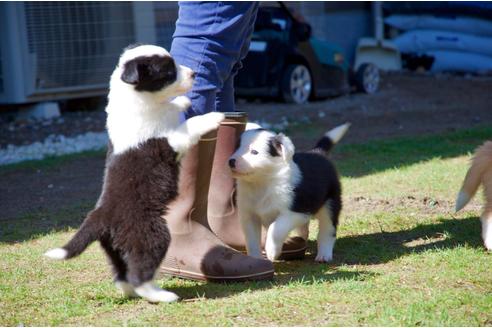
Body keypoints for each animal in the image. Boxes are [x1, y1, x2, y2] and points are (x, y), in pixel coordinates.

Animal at [44, 44, 225, 304]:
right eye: (169, 72)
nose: (193, 74)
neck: (139, 101)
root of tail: (100, 216)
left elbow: (174, 106)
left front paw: (181, 101)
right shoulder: (169, 141)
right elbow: (190, 125)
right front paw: (213, 117)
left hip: (115, 248)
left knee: (122, 274)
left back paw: (132, 291)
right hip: (151, 235)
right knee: (140, 273)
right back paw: (160, 295)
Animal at [231, 121, 350, 262]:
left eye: (254, 152)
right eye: (236, 148)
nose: (231, 161)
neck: (262, 183)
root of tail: (318, 153)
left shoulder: (296, 212)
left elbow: (275, 228)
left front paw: (272, 251)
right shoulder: (249, 216)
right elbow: (252, 241)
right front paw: (256, 260)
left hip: (330, 203)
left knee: (327, 230)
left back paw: (324, 254)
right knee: (305, 229)